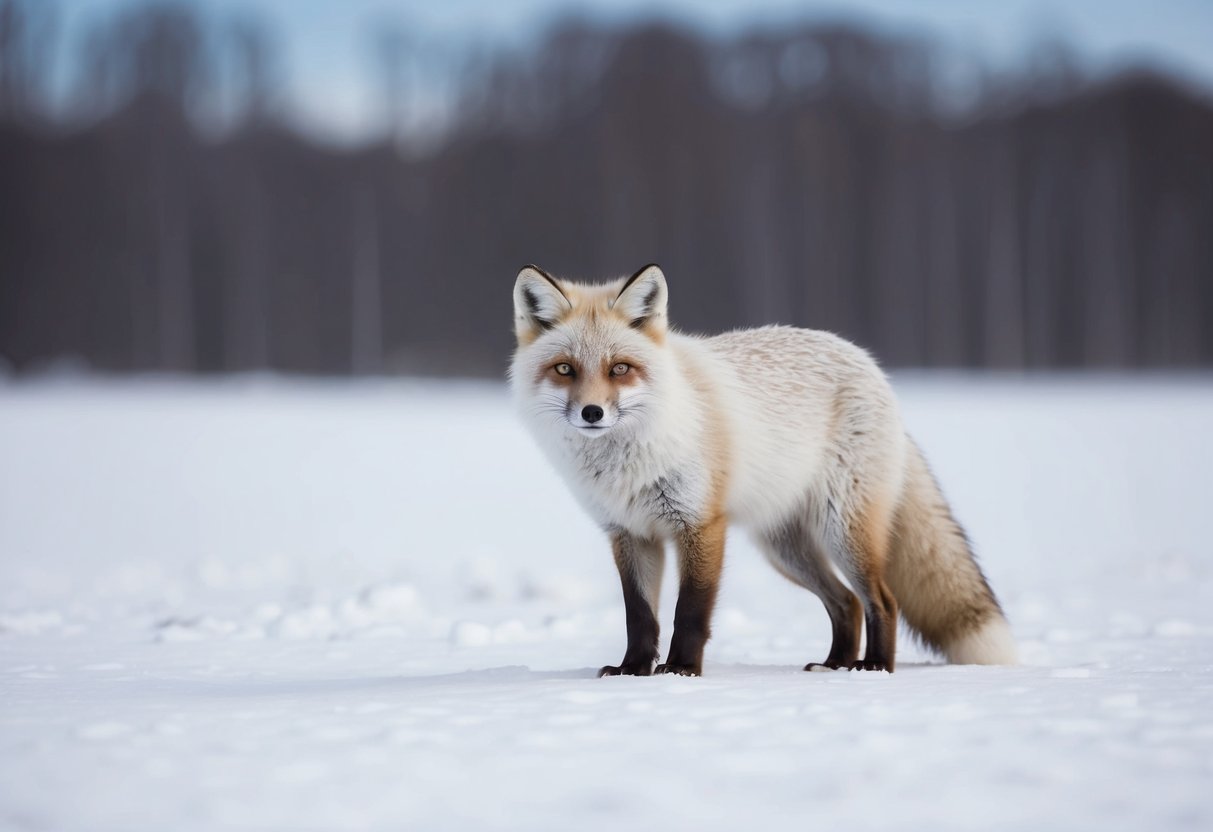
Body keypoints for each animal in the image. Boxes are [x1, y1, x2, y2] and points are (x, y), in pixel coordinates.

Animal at [509, 263, 1017, 676]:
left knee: (881, 600)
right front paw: (633, 670)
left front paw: (681, 671)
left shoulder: (700, 523)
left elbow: (690, 611)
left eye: (619, 369)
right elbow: (640, 616)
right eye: (564, 369)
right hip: (786, 548)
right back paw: (836, 664)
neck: (629, 461)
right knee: (847, 603)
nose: (592, 413)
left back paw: (873, 667)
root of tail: (871, 366)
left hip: (842, 531)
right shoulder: (630, 533)